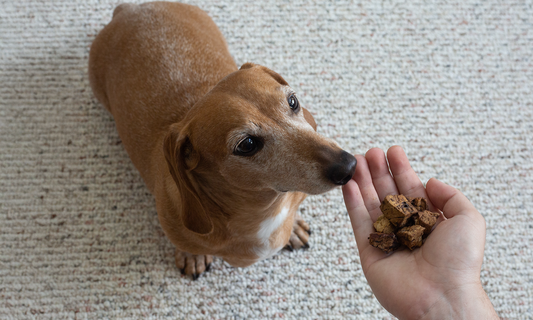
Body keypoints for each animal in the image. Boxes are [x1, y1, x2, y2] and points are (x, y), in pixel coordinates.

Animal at [89, 1, 356, 278]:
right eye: (247, 144)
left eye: (292, 101)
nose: (348, 166)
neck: (264, 210)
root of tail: (128, 10)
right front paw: (192, 256)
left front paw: (293, 228)